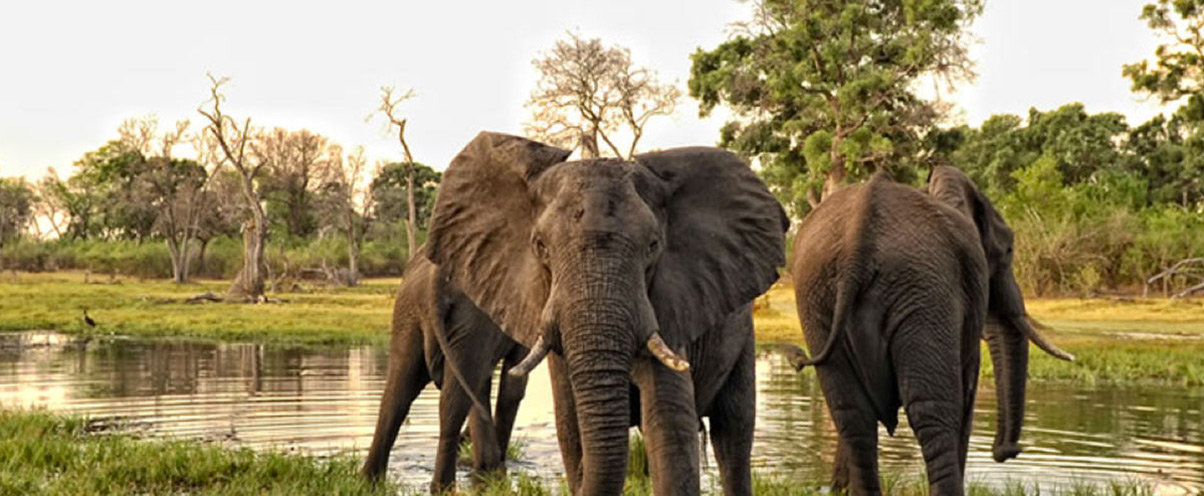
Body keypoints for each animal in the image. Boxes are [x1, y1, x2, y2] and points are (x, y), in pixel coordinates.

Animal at [356, 254, 527, 493]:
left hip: (409, 311)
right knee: (453, 401)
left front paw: (486, 471)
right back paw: (445, 486)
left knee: (397, 395)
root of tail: (434, 278)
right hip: (469, 317)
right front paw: (493, 472)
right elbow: (510, 387)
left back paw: (368, 482)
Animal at [789, 167, 1073, 496]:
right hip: (922, 291)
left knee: (852, 415)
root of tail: (855, 245)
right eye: (1009, 250)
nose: (1007, 451)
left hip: (819, 297)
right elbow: (966, 394)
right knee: (934, 413)